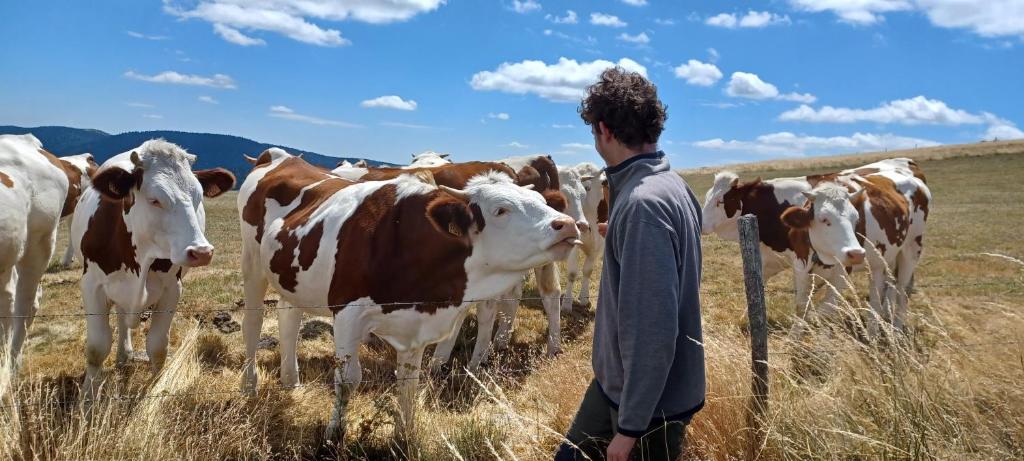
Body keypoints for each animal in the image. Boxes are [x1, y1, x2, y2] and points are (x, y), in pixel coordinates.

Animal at [71, 138, 234, 393]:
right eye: (154, 199)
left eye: (198, 196)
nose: (201, 252)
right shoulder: (91, 286)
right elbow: (97, 348)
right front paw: (88, 396)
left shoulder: (172, 289)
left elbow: (157, 347)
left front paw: (156, 388)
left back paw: (124, 355)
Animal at [700, 158, 925, 313]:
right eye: (707, 197)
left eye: (720, 201)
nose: (700, 224)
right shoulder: (774, 259)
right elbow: (757, 289)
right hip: (886, 258)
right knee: (887, 288)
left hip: (911, 250)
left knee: (902, 290)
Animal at [778, 169, 933, 333]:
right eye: (824, 219)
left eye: (856, 219)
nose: (857, 254)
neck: (822, 256)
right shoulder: (801, 269)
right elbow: (801, 309)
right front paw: (793, 337)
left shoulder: (841, 276)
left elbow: (825, 309)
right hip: (883, 260)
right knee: (881, 293)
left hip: (911, 249)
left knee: (902, 291)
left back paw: (895, 331)